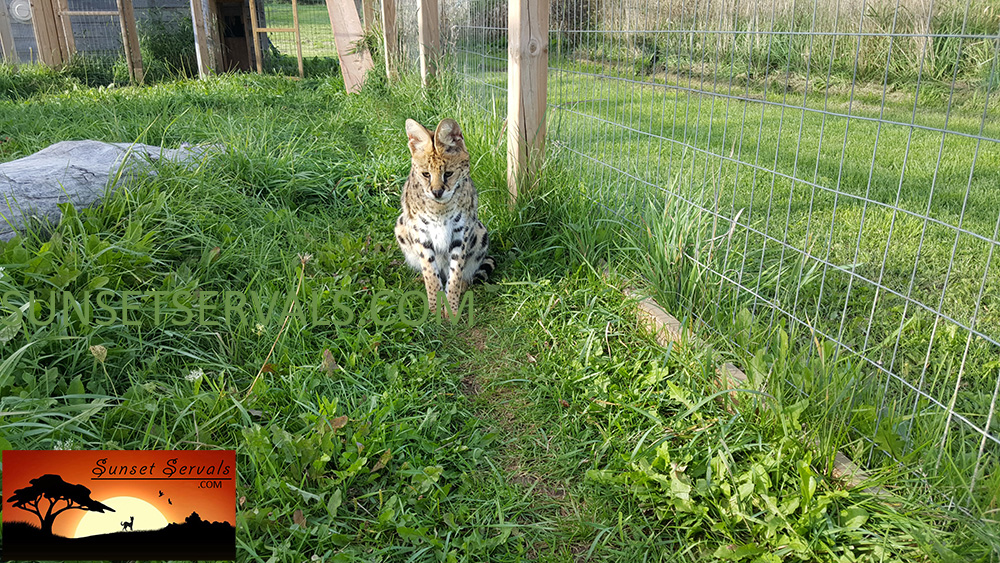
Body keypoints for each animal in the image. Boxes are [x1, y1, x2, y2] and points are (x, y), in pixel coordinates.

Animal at [394, 117, 496, 318]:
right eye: (426, 174)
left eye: (448, 173)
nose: (436, 192)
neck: (439, 208)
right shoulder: (421, 233)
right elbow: (430, 273)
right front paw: (434, 308)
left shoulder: (461, 232)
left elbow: (455, 273)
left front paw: (451, 308)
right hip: (401, 225)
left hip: (480, 230)